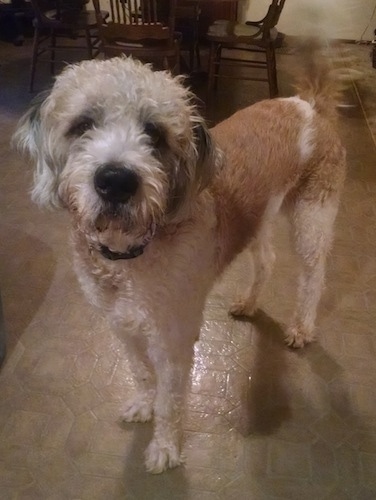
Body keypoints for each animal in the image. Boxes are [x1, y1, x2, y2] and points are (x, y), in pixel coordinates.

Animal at [13, 49, 346, 472]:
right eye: (82, 125)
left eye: (154, 133)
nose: (116, 181)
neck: (128, 256)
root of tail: (306, 105)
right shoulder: (122, 327)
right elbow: (140, 374)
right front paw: (143, 404)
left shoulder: (171, 341)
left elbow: (170, 401)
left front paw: (166, 447)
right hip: (258, 221)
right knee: (268, 260)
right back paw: (249, 302)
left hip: (312, 222)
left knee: (313, 279)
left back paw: (302, 327)